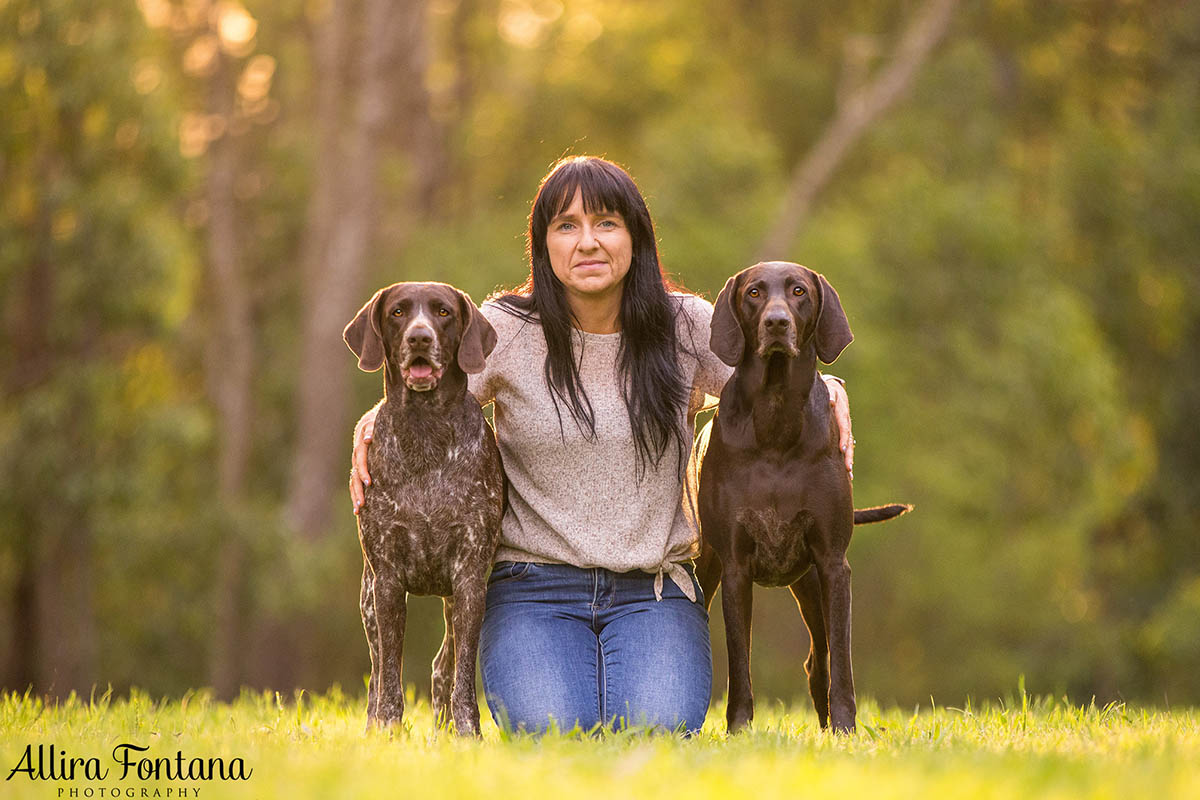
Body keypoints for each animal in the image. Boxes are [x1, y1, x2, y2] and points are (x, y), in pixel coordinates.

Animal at [345, 281, 504, 738]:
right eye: (397, 312)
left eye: (443, 312)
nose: (419, 338)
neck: (425, 430)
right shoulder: (387, 583)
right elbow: (390, 679)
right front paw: (387, 731)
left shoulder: (470, 580)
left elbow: (463, 677)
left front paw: (468, 734)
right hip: (368, 602)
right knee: (378, 672)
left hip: (452, 601)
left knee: (442, 668)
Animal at [686, 263, 907, 738]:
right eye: (753, 292)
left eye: (799, 291)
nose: (776, 323)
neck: (776, 415)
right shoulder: (734, 568)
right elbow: (739, 663)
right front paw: (739, 729)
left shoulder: (833, 564)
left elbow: (842, 664)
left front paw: (846, 728)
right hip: (709, 572)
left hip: (811, 584)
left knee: (819, 661)